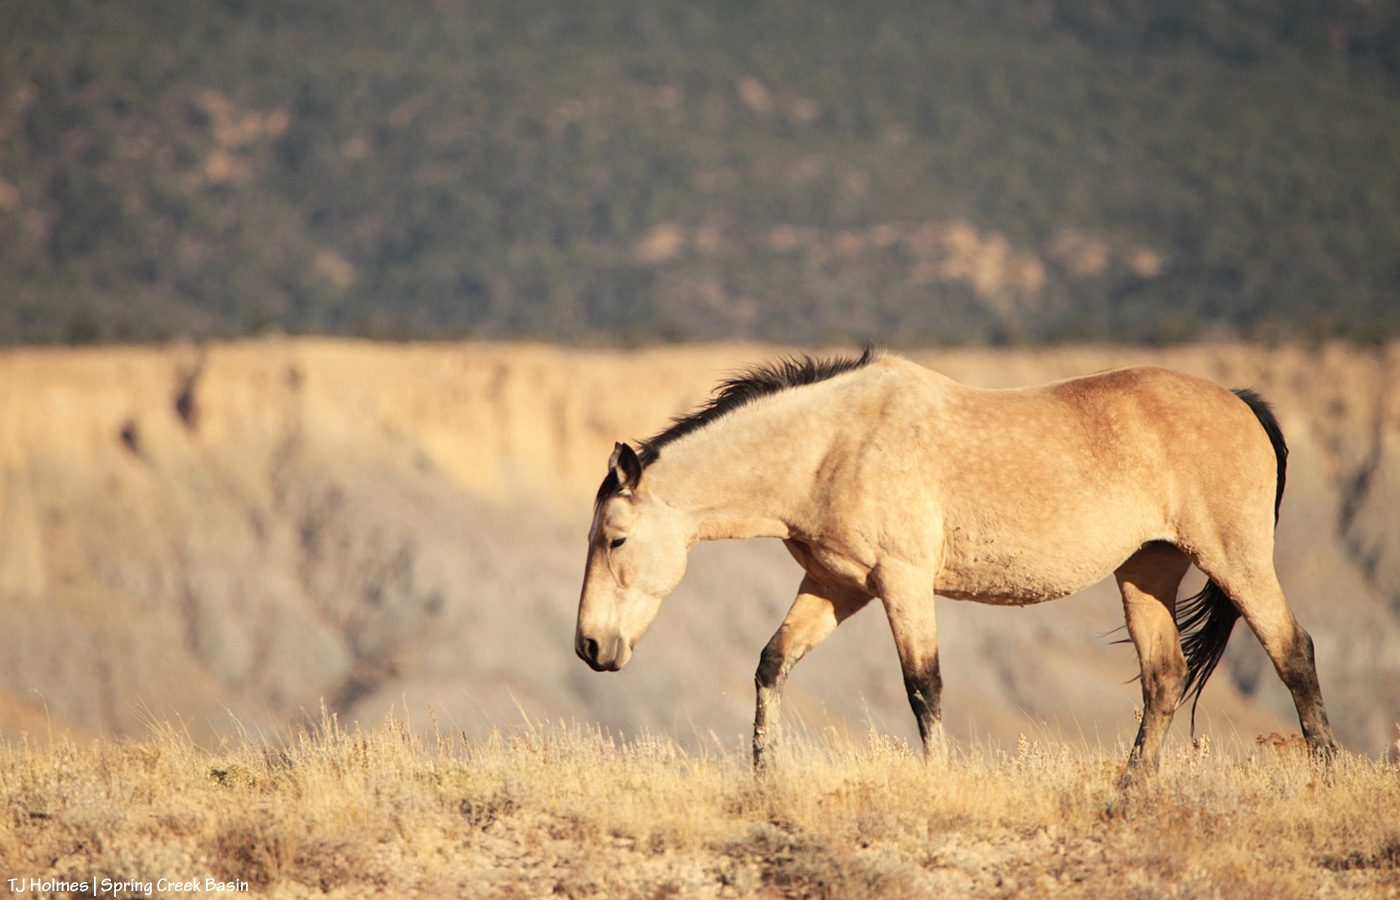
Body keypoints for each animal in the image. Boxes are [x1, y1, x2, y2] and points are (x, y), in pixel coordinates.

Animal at [573, 348, 1338, 783]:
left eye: (614, 539)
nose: (590, 647)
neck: (831, 444)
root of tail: (1242, 403)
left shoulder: (902, 581)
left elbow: (924, 687)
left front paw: (936, 782)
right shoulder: (835, 586)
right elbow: (772, 665)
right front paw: (764, 779)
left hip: (1234, 558)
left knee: (1293, 650)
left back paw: (1326, 777)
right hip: (1147, 570)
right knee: (1164, 678)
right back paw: (1131, 791)